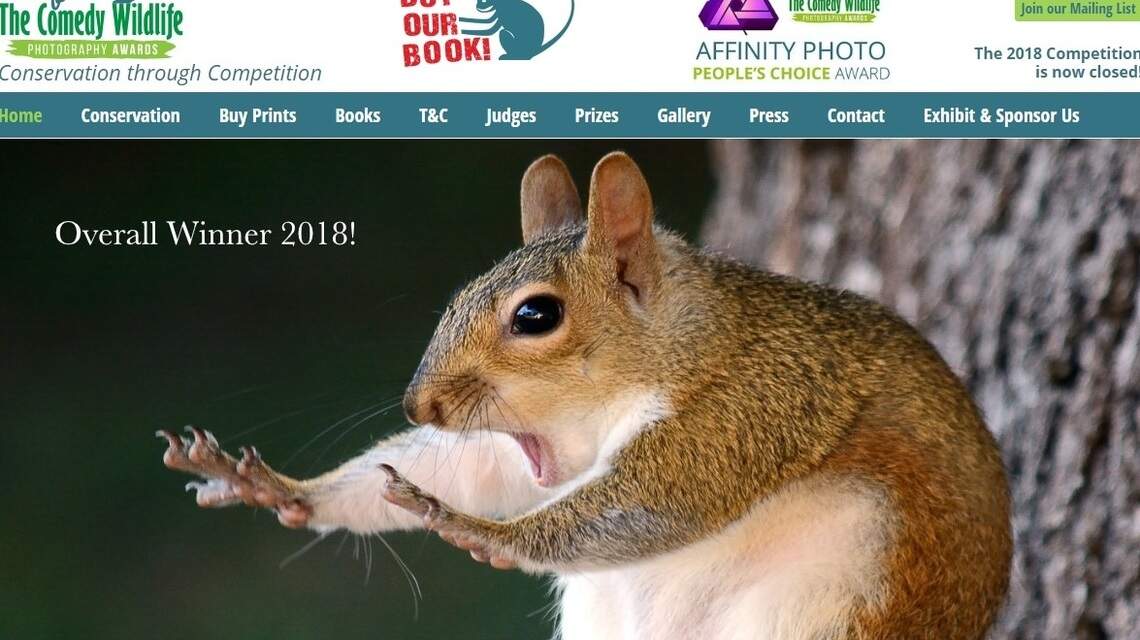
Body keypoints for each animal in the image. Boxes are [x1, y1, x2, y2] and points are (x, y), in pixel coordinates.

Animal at [158, 152, 1012, 640]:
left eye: (536, 316)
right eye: (460, 293)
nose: (420, 408)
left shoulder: (752, 407)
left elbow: (651, 503)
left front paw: (476, 530)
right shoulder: (517, 452)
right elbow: (462, 469)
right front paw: (283, 489)